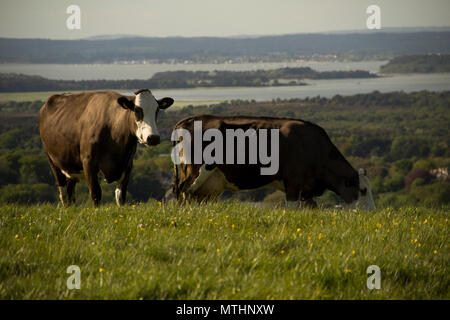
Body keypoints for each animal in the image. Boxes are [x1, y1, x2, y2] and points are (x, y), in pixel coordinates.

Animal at [38, 89, 174, 206]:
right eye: (136, 110)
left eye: (157, 110)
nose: (153, 137)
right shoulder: (89, 162)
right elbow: (96, 193)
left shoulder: (127, 164)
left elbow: (121, 196)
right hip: (52, 159)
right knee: (63, 193)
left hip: (71, 166)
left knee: (71, 192)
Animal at [172, 115, 376, 210]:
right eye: (363, 190)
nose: (371, 212)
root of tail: (187, 120)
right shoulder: (293, 183)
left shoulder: (307, 191)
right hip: (195, 170)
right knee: (184, 191)